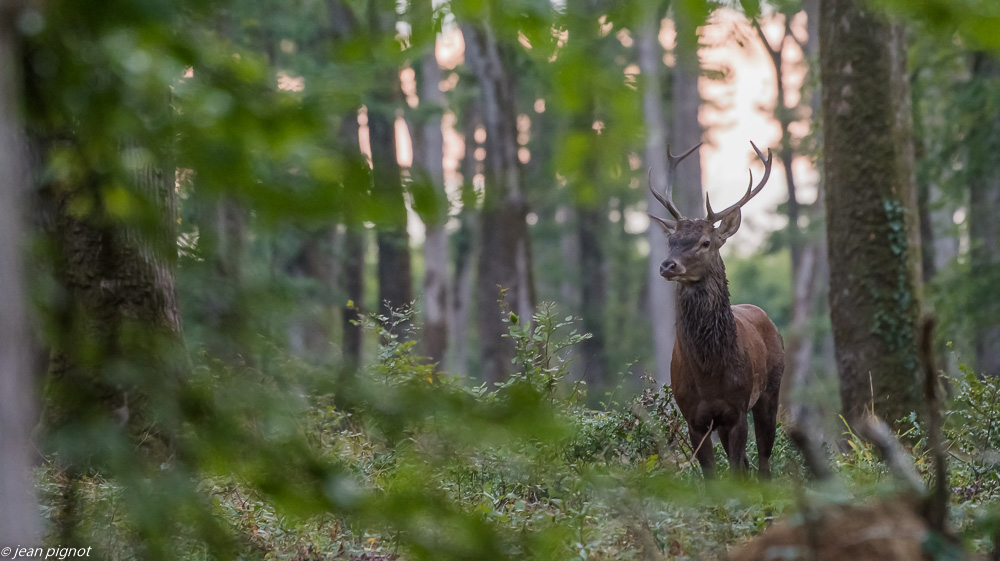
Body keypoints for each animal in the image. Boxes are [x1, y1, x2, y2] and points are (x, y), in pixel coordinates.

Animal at [648, 141, 784, 478]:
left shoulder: (735, 410)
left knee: (764, 463)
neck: (708, 375)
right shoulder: (693, 416)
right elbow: (712, 476)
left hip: (771, 390)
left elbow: (735, 471)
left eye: (705, 242)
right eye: (672, 240)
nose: (667, 265)